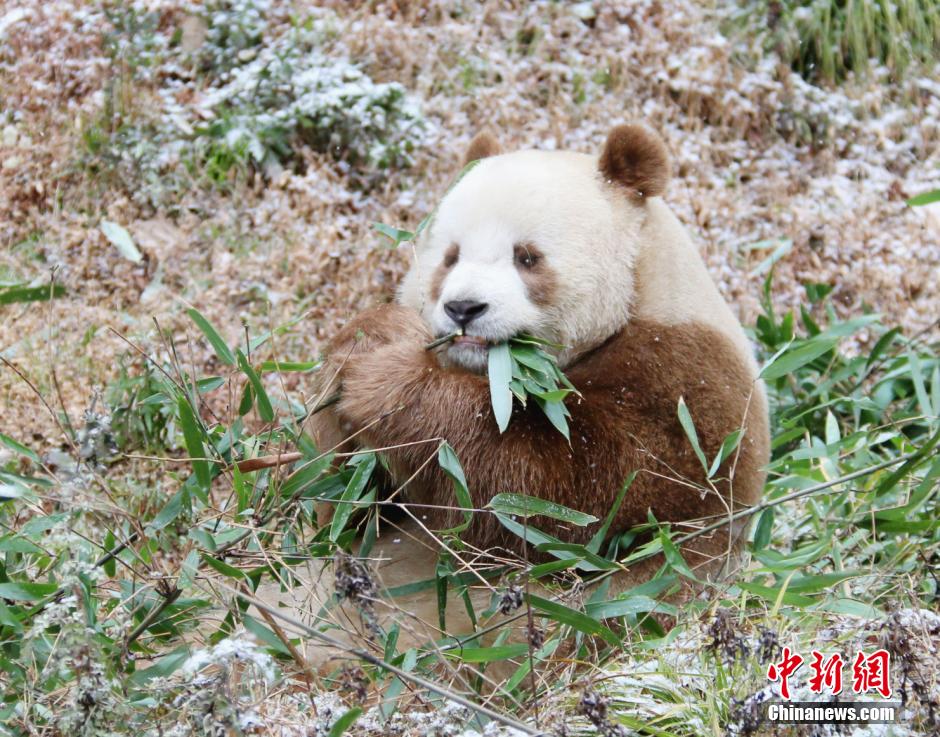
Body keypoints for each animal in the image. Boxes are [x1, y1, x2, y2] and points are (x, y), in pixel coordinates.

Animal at [306, 125, 769, 640]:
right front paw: (370, 339)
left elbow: (559, 500)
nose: (463, 308)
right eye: (450, 257)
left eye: (526, 257)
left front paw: (391, 383)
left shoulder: (684, 387)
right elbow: (342, 510)